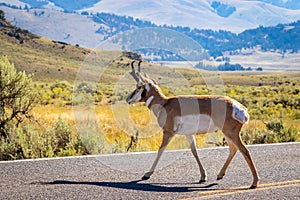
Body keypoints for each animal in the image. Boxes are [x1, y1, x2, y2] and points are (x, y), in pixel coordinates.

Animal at [125, 60, 258, 188]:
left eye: (139, 86)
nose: (128, 99)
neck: (165, 103)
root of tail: (241, 108)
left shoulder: (168, 132)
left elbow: (160, 150)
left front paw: (147, 174)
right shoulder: (188, 134)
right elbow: (194, 152)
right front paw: (203, 176)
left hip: (231, 133)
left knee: (244, 151)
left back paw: (254, 183)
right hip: (227, 133)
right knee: (233, 149)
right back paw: (220, 175)